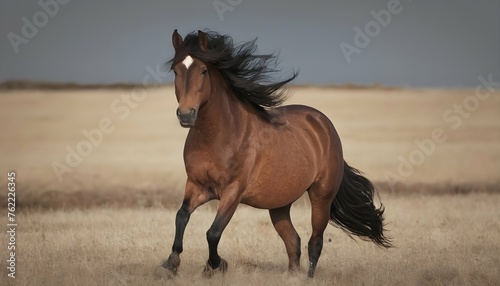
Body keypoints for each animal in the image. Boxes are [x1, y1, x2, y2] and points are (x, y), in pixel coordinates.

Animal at [158, 30, 392, 278]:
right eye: (176, 70)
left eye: (203, 70)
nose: (186, 115)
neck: (219, 135)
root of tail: (324, 125)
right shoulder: (196, 185)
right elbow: (181, 216)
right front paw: (171, 263)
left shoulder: (233, 191)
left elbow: (213, 233)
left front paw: (216, 265)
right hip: (280, 204)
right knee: (293, 241)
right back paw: (292, 277)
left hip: (321, 196)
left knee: (314, 242)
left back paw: (307, 278)